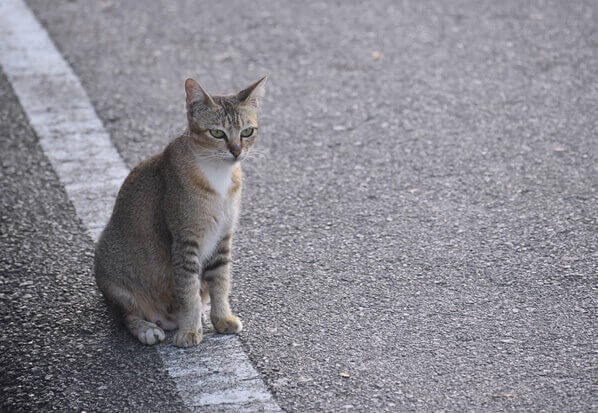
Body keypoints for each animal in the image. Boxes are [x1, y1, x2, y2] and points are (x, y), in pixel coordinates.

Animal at [95, 75, 268, 346]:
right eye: (217, 133)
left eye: (247, 132)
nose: (236, 151)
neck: (218, 175)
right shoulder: (184, 241)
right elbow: (188, 292)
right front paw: (189, 329)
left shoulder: (223, 238)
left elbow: (221, 282)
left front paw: (221, 318)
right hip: (112, 275)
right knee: (126, 315)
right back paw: (147, 328)